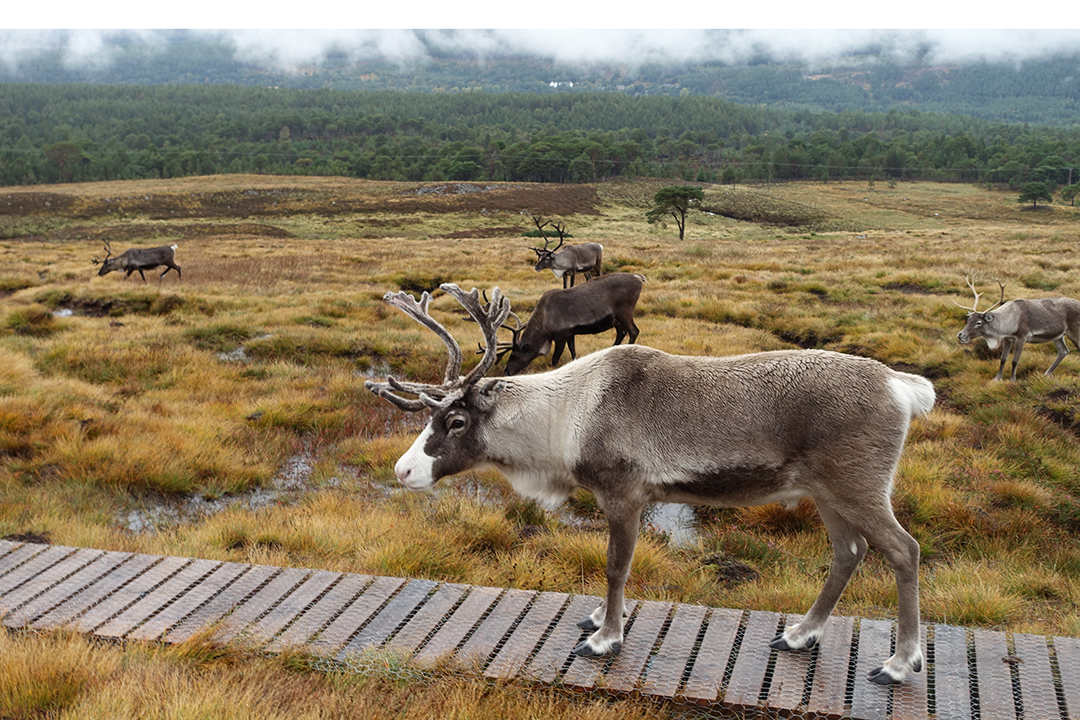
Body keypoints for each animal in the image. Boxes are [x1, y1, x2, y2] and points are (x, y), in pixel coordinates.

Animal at [365, 283, 936, 685]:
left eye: (456, 421)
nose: (403, 470)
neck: (564, 416)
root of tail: (901, 385)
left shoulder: (624, 494)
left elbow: (616, 566)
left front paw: (605, 639)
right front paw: (600, 618)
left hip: (859, 486)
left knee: (903, 550)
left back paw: (900, 662)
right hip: (825, 493)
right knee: (849, 552)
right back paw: (799, 635)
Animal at [494, 272, 644, 376]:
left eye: (514, 355)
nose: (506, 372)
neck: (544, 320)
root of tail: (639, 278)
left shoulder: (560, 336)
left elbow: (555, 359)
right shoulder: (570, 333)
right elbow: (573, 350)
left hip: (625, 312)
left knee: (633, 331)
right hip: (615, 319)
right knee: (622, 332)